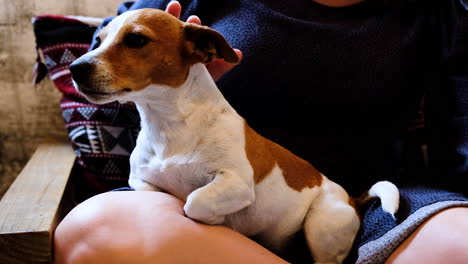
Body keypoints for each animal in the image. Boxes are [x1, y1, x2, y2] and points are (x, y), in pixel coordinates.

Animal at [70, 8, 398, 264]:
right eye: (98, 40)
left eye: (136, 39)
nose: (75, 68)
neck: (168, 124)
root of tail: (351, 197)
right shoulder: (140, 180)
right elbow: (156, 191)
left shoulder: (237, 183)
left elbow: (194, 201)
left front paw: (214, 218)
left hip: (321, 226)